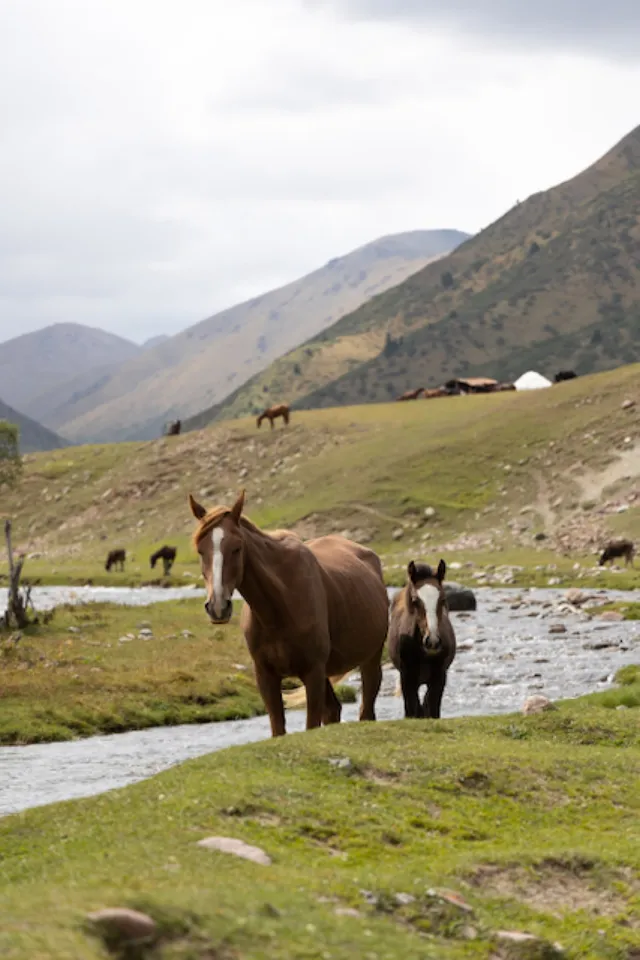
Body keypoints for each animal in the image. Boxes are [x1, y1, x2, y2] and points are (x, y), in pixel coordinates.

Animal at [188, 490, 389, 737]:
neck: (279, 608)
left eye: (237, 548)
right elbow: (279, 728)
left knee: (366, 709)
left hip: (370, 660)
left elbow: (311, 723)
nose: (217, 607)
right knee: (333, 710)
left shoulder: (313, 673)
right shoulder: (266, 676)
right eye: (200, 550)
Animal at [388, 559, 456, 719]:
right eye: (415, 600)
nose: (432, 641)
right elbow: (413, 710)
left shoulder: (439, 677)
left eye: (442, 599)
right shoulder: (406, 678)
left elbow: (432, 709)